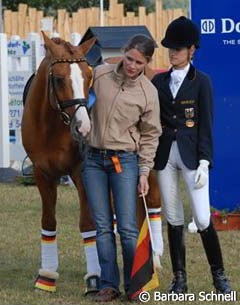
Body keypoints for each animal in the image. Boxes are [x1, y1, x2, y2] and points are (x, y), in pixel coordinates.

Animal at [20, 32, 99, 292]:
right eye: (58, 79)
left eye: (88, 76)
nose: (83, 128)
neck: (51, 127)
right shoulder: (42, 174)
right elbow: (48, 221)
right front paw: (47, 276)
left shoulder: (82, 173)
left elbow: (87, 224)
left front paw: (94, 276)